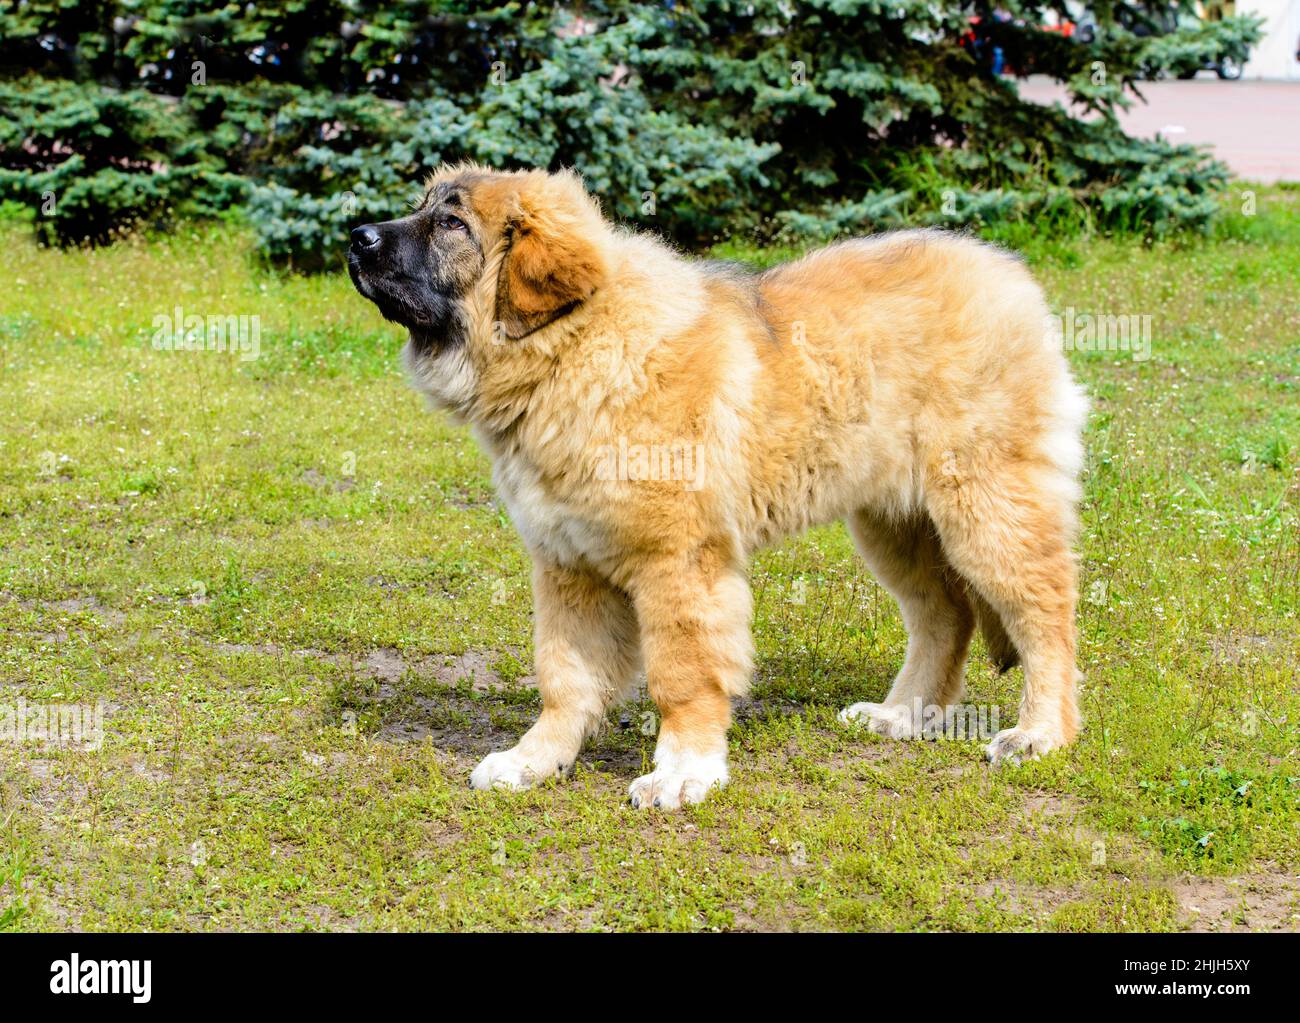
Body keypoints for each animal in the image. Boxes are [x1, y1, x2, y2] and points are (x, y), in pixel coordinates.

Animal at [348, 163, 1086, 811]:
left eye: (451, 223)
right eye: (422, 208)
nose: (356, 236)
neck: (574, 349)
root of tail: (1005, 271)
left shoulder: (679, 561)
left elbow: (681, 675)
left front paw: (682, 773)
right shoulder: (566, 563)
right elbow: (563, 676)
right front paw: (535, 760)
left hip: (986, 504)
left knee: (1044, 612)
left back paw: (1039, 733)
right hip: (891, 520)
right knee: (945, 615)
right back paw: (901, 715)